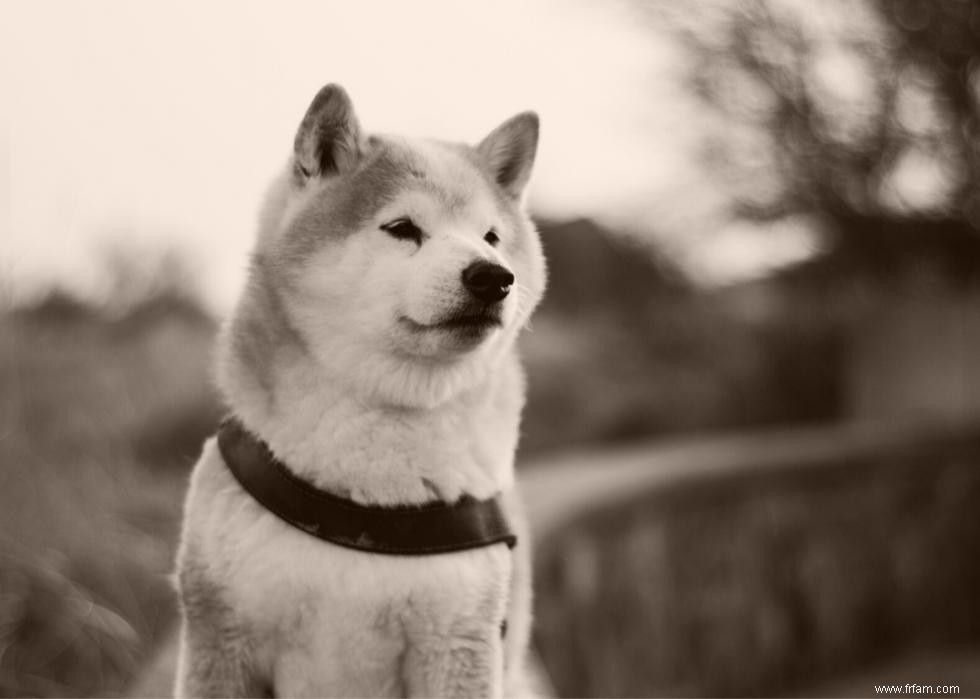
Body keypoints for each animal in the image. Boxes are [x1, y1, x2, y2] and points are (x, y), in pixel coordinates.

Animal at [172, 83, 548, 699]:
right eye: (402, 228)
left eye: (492, 237)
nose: (493, 276)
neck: (370, 501)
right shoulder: (221, 637)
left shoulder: (458, 642)